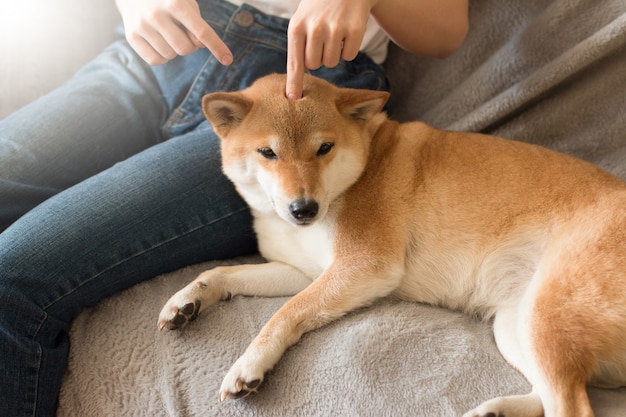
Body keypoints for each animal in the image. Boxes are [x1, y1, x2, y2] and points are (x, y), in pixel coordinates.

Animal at [157, 73, 624, 414]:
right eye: (267, 153)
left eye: (324, 148)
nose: (304, 209)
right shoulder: (303, 272)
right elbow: (224, 272)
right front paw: (187, 300)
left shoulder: (363, 266)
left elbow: (283, 314)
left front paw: (250, 363)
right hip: (514, 325)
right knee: (547, 397)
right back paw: (495, 410)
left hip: (546, 319)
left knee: (572, 406)